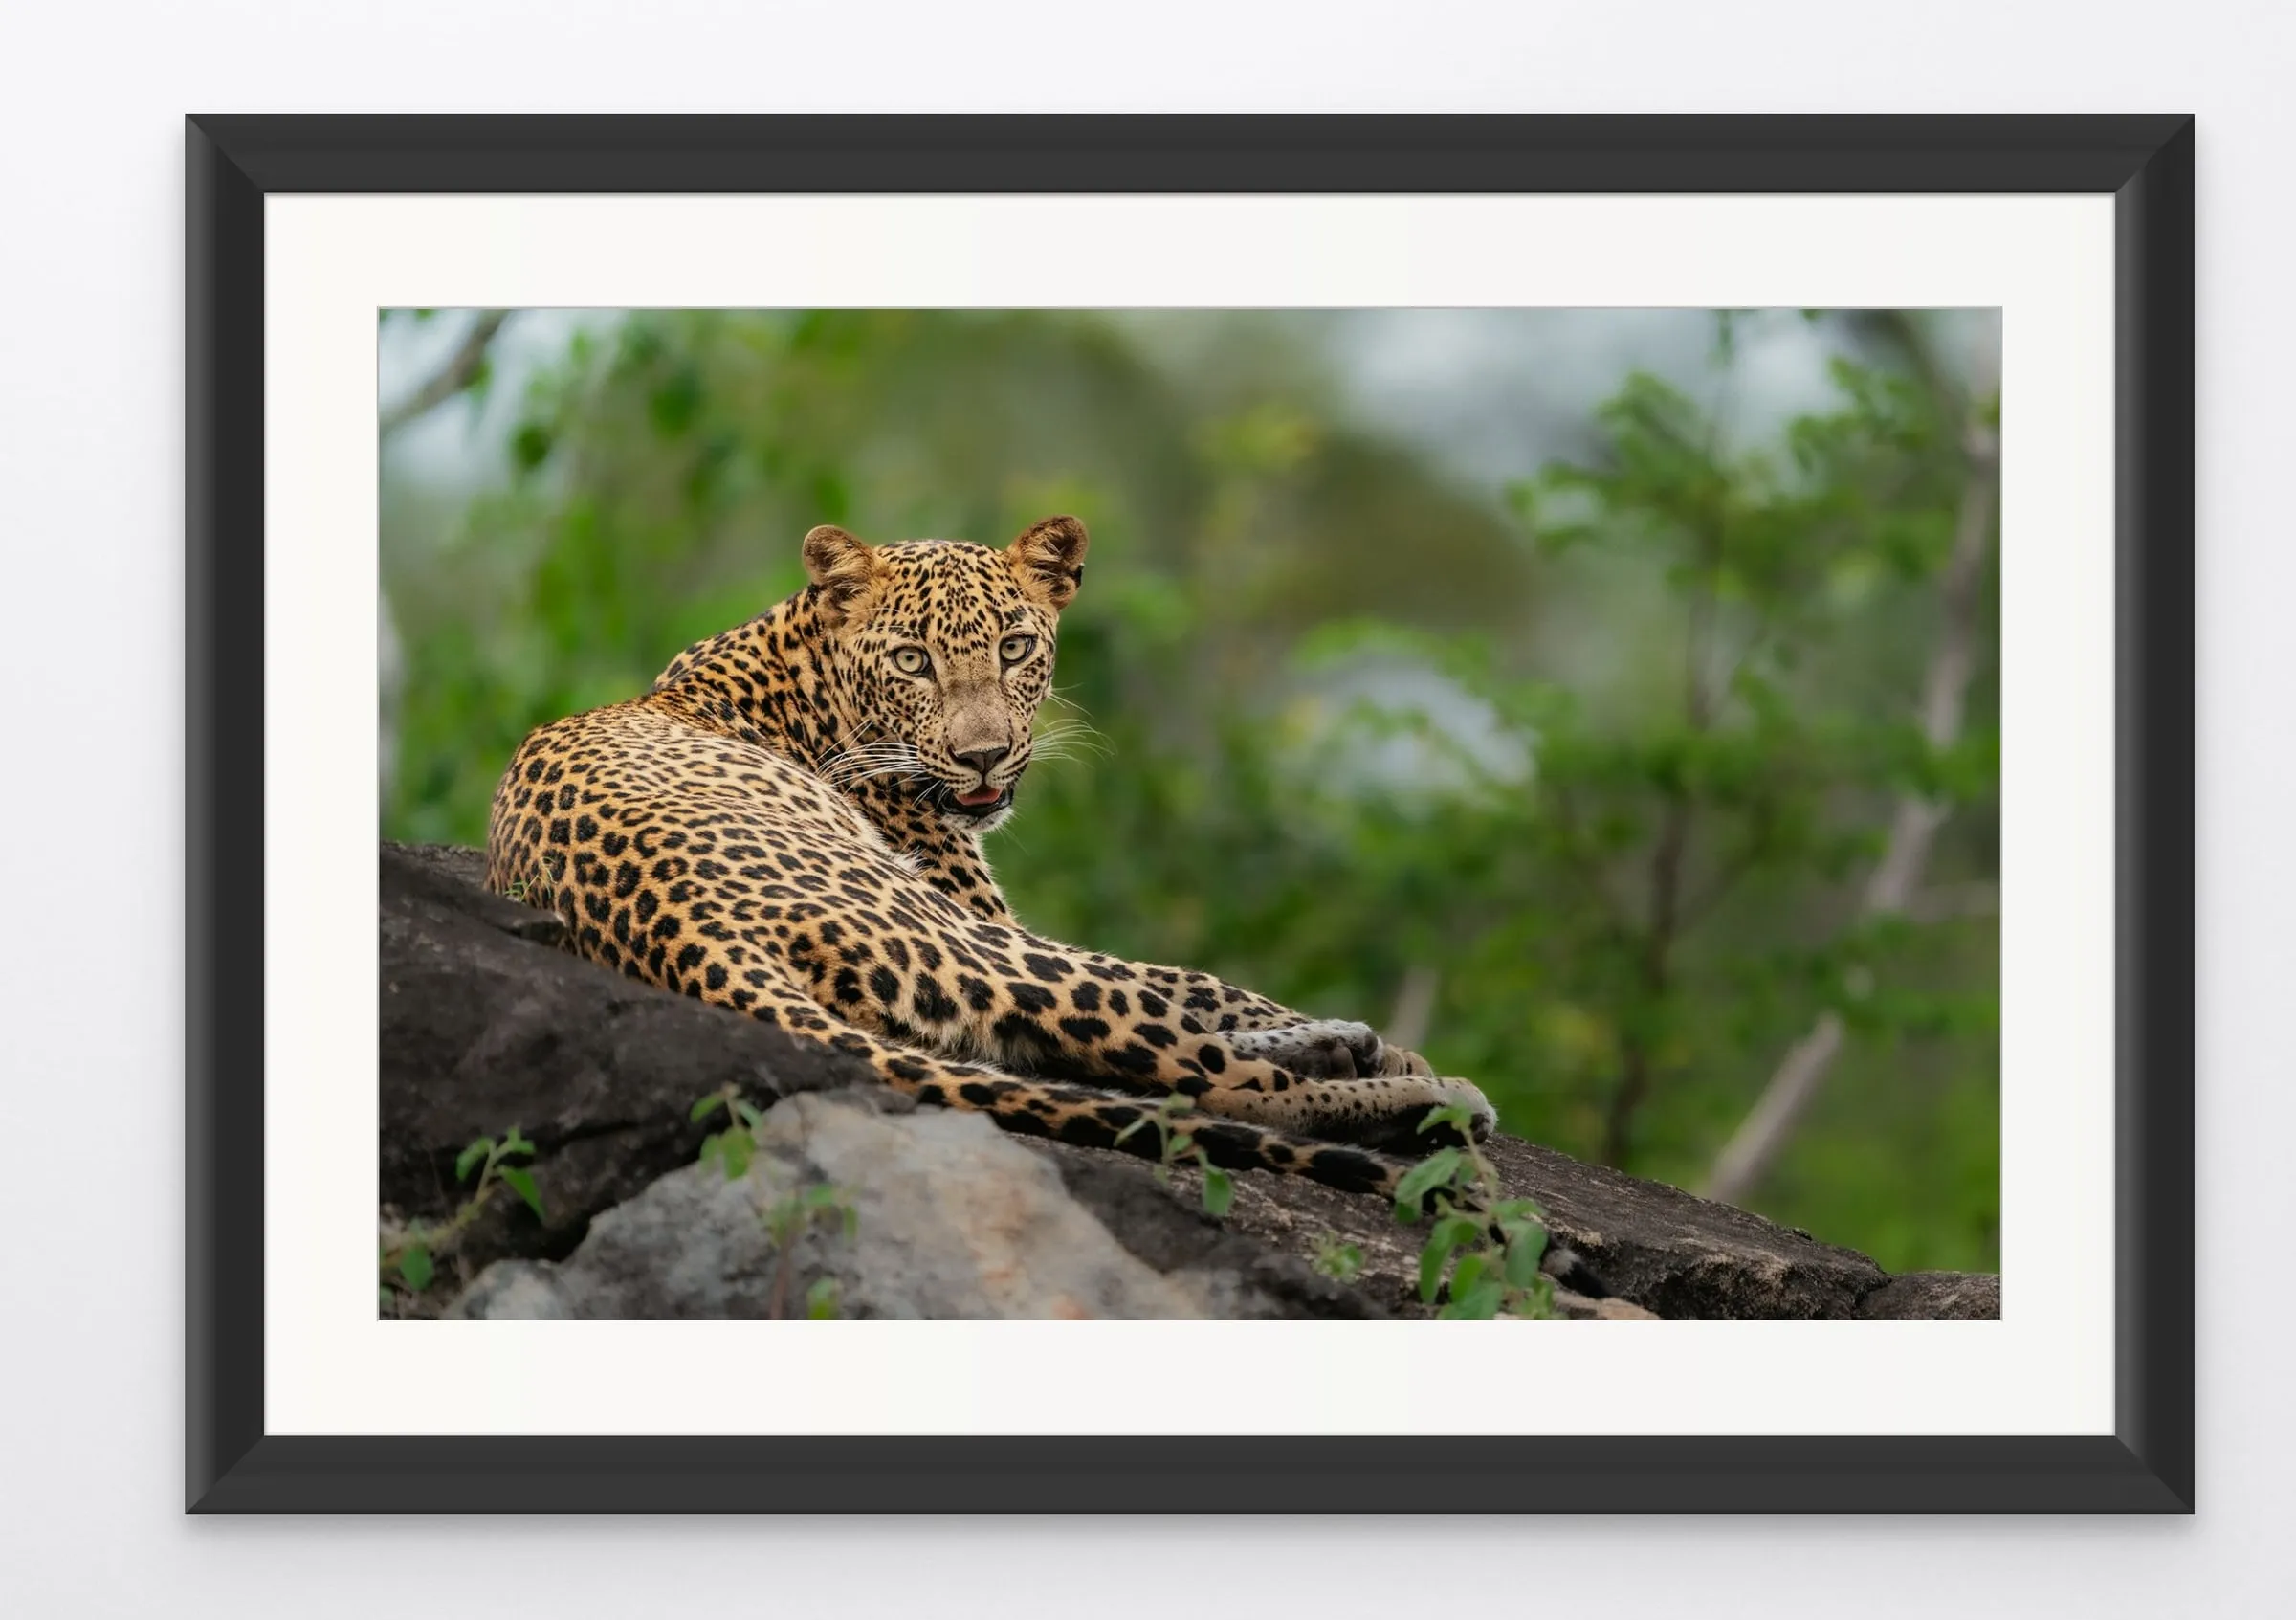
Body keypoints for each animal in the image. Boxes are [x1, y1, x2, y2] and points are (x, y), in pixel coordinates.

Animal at [486, 514, 1561, 1239]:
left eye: (1014, 649)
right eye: (912, 660)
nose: (984, 758)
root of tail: (687, 936)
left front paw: (1360, 1040)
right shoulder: (978, 904)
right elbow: (1201, 986)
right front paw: (1396, 1057)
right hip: (950, 931)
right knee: (1207, 1078)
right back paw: (1431, 1099)